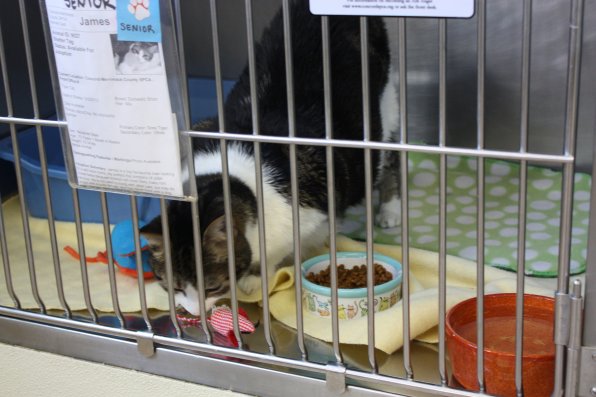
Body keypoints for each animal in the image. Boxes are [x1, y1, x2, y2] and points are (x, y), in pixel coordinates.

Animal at [140, 0, 400, 316]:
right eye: (174, 287)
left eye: (212, 287)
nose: (195, 313)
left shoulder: (309, 216)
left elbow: (284, 249)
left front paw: (254, 278)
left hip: (384, 111)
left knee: (390, 156)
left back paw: (390, 209)